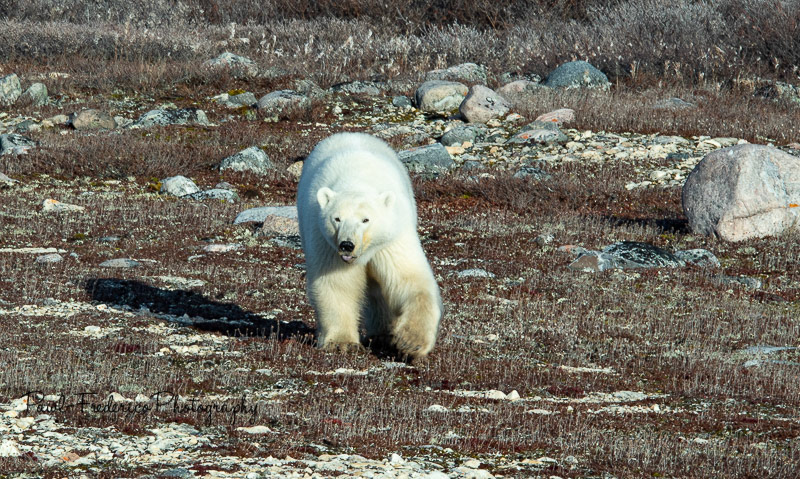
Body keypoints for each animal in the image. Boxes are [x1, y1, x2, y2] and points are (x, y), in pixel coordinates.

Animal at [296, 132, 442, 359]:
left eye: (365, 220)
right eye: (336, 218)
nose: (347, 245)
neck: (356, 181)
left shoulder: (391, 238)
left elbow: (409, 279)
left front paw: (411, 342)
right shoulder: (326, 243)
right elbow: (337, 284)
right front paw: (342, 343)